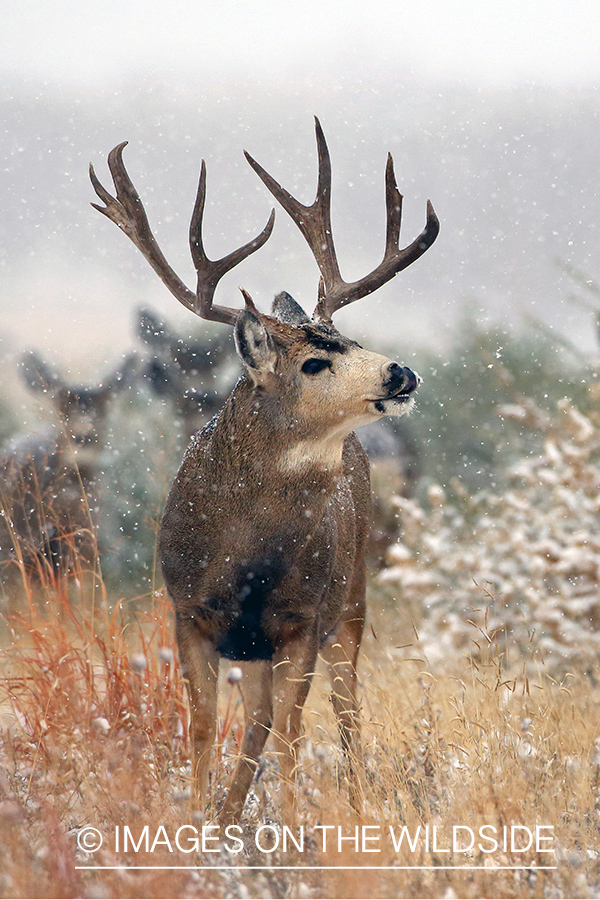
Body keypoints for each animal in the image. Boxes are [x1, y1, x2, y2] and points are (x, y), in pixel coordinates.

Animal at [91, 119, 438, 824]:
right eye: (313, 361)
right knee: (257, 717)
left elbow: (291, 731)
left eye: (350, 340)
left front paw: (296, 823)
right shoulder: (189, 612)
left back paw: (349, 803)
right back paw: (230, 815)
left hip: (352, 595)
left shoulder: (300, 618)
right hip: (257, 642)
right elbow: (203, 727)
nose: (401, 372)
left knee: (340, 711)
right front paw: (199, 820)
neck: (245, 555)